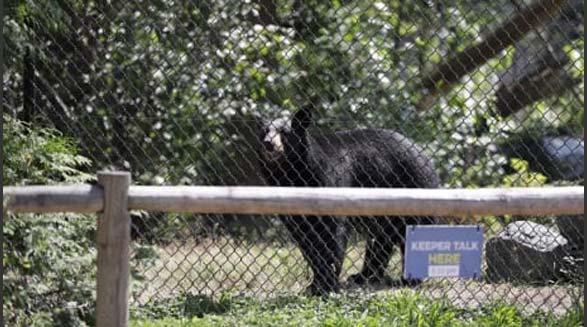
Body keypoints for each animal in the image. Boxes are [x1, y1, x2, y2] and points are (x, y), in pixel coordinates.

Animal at [258, 106, 440, 296]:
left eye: (284, 132)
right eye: (265, 131)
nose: (268, 143)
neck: (293, 173)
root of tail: (426, 158)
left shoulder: (330, 179)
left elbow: (332, 234)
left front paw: (326, 285)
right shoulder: (291, 206)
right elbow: (306, 240)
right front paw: (314, 284)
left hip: (413, 189)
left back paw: (407, 279)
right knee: (381, 238)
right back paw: (363, 276)